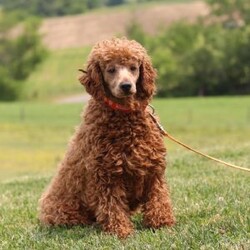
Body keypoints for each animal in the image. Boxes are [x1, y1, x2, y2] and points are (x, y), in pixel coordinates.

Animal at [39, 37, 176, 238]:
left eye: (134, 68)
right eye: (111, 70)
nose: (126, 86)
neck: (124, 115)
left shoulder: (153, 170)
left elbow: (158, 199)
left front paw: (162, 225)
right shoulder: (106, 175)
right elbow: (113, 207)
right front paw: (121, 231)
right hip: (69, 212)